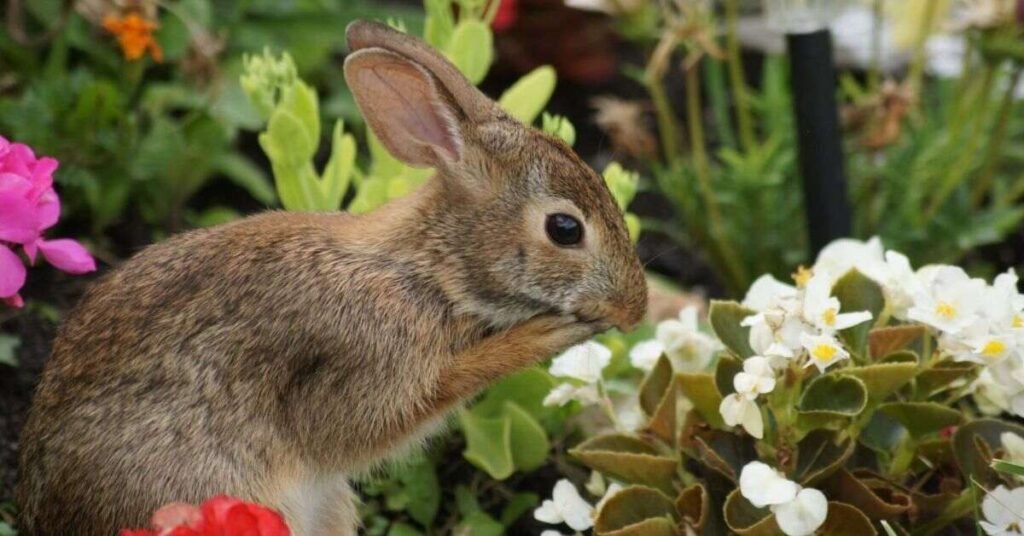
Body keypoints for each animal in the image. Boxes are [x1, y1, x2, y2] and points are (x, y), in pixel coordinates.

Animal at [16, 20, 646, 536]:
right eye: (565, 228)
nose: (635, 308)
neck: (430, 270)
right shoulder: (363, 362)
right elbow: (408, 402)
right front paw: (542, 337)